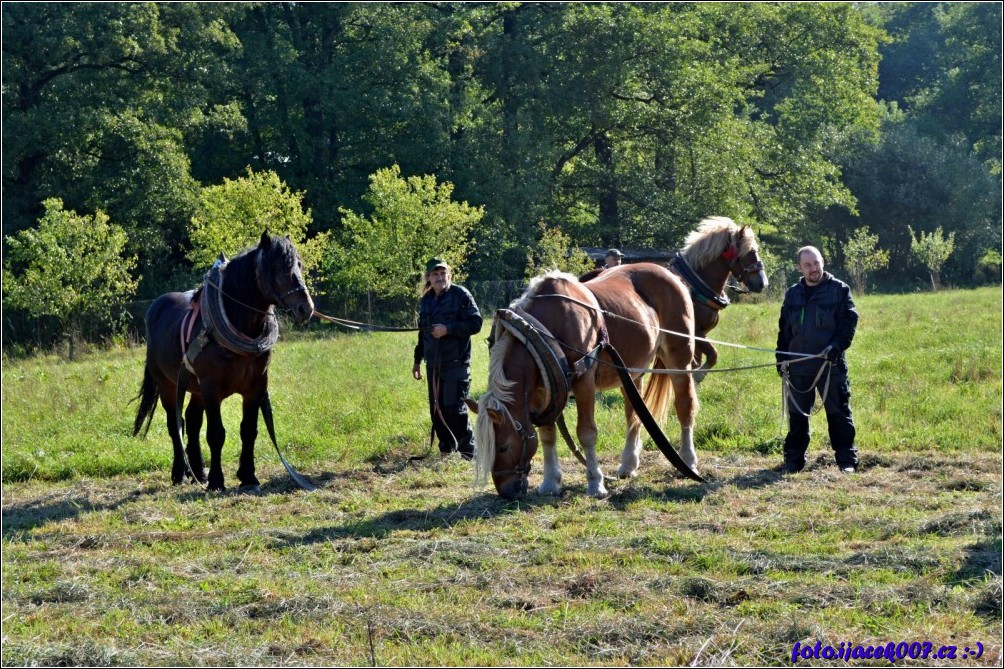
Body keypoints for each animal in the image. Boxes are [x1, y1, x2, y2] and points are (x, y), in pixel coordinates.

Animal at [133, 233, 311, 490]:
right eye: (277, 267)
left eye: (299, 264)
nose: (305, 308)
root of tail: (154, 308)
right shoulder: (211, 387)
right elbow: (216, 433)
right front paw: (217, 480)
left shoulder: (256, 386)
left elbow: (249, 430)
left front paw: (248, 477)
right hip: (169, 386)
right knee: (175, 424)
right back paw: (180, 473)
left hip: (195, 388)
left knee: (192, 421)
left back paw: (198, 471)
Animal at [471, 263, 698, 498]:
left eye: (503, 447)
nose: (505, 492)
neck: (543, 330)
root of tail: (668, 273)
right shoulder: (542, 391)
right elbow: (547, 435)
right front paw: (550, 482)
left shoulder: (584, 382)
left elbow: (587, 433)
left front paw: (596, 482)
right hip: (630, 372)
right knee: (634, 414)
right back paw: (628, 464)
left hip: (679, 361)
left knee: (685, 406)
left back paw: (688, 461)